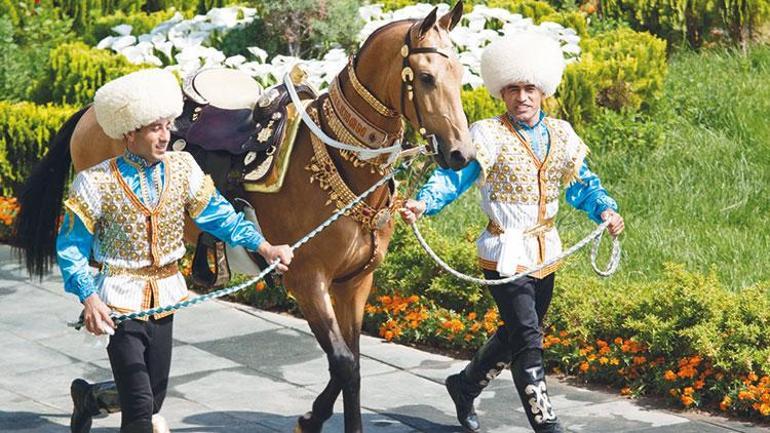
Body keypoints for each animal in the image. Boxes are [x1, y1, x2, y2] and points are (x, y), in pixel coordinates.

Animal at [15, 2, 474, 428]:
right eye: (427, 77)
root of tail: (92, 110)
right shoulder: (307, 280)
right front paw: (312, 418)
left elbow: (353, 363)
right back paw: (102, 397)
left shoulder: (356, 282)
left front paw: (318, 416)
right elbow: (344, 363)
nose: (460, 153)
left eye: (461, 75)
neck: (337, 163)